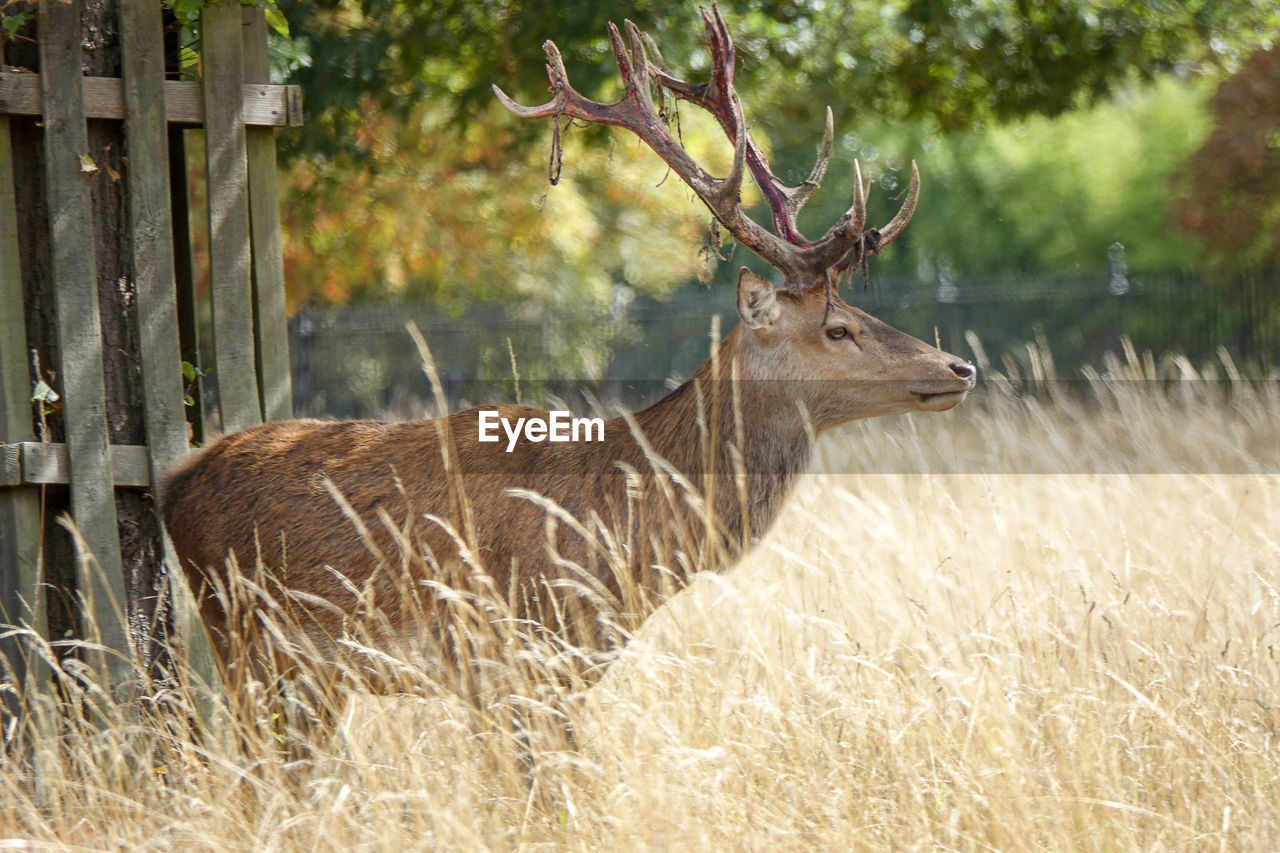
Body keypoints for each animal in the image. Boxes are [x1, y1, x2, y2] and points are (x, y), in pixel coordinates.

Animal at [162, 4, 977, 722]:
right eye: (838, 328)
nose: (959, 368)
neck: (627, 539)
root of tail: (174, 482)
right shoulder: (517, 653)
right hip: (248, 640)